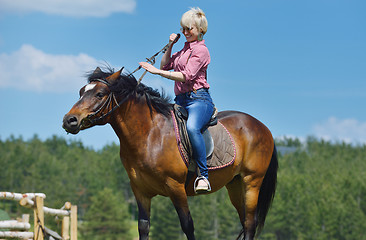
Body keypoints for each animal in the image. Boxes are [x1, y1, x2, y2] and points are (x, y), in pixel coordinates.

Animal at [63, 67, 278, 240]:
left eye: (100, 94)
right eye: (81, 92)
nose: (69, 120)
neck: (149, 134)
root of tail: (262, 127)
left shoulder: (175, 187)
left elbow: (188, 226)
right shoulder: (140, 191)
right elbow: (143, 227)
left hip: (252, 181)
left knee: (250, 223)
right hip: (234, 184)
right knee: (244, 220)